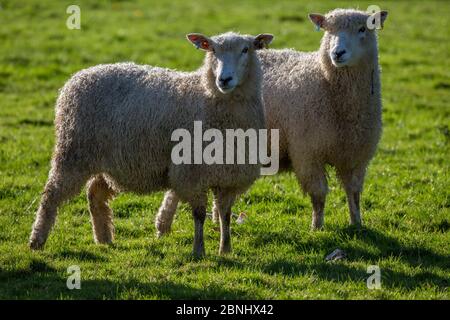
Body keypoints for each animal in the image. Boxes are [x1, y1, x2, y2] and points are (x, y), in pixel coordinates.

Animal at [29, 31, 274, 258]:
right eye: (212, 50)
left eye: (246, 49)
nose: (224, 79)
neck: (208, 99)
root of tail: (78, 76)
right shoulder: (192, 174)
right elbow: (199, 214)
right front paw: (199, 251)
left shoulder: (231, 175)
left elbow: (225, 214)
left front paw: (225, 249)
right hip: (72, 153)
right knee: (51, 195)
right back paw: (37, 241)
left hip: (110, 161)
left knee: (95, 193)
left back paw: (104, 238)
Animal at [156, 8, 388, 235]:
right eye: (328, 30)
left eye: (362, 29)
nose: (337, 53)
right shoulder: (308, 154)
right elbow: (319, 194)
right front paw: (317, 227)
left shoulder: (357, 155)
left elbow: (354, 193)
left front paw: (357, 224)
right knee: (176, 189)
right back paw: (163, 226)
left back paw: (214, 219)